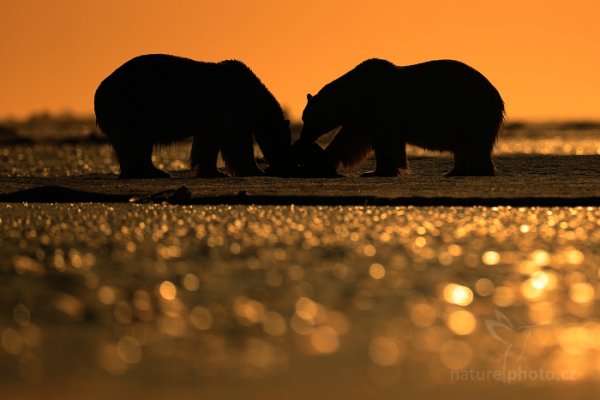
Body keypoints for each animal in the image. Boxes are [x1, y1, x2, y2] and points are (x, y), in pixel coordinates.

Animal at [94, 53, 290, 178]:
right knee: (136, 142)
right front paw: (253, 169)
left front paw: (213, 171)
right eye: (283, 142)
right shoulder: (229, 110)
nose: (283, 166)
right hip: (131, 109)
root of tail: (99, 90)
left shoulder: (213, 120)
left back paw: (151, 171)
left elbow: (208, 143)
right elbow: (236, 142)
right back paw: (154, 172)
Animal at [292, 58, 504, 176]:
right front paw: (323, 159)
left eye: (308, 118)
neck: (359, 92)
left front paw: (376, 171)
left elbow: (385, 142)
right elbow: (350, 139)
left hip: (470, 113)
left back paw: (478, 170)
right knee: (463, 148)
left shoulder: (382, 108)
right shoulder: (364, 116)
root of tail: (497, 95)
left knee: (475, 145)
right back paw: (454, 171)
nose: (303, 138)